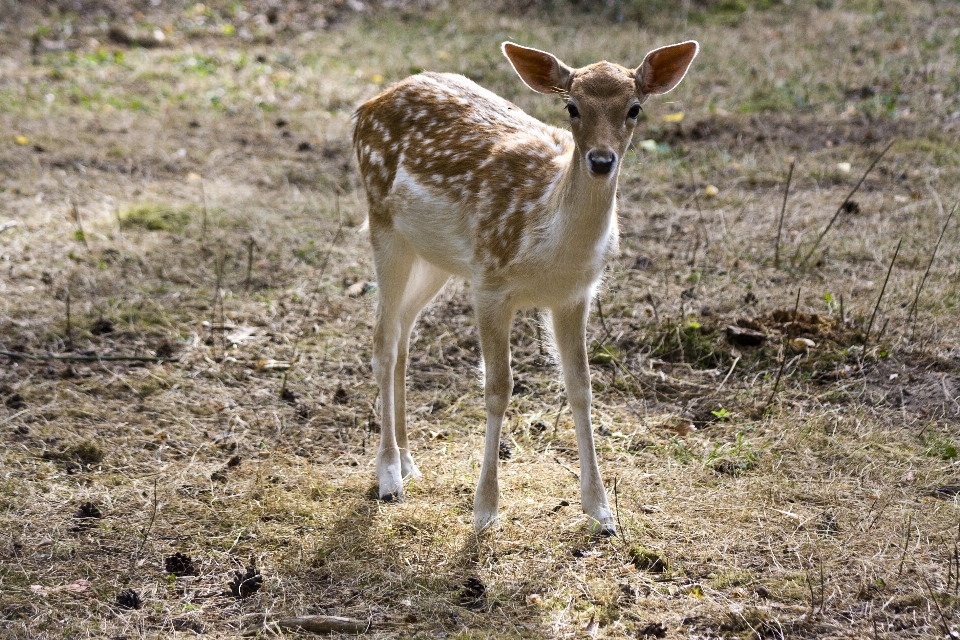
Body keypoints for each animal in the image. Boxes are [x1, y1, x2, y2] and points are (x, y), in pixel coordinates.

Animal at [352, 37, 696, 532]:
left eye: (635, 108)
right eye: (572, 107)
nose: (601, 161)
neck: (550, 247)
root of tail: (366, 107)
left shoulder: (575, 295)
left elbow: (580, 385)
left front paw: (601, 511)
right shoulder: (490, 282)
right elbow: (499, 388)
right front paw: (484, 511)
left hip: (435, 257)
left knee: (402, 334)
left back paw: (410, 461)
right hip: (383, 223)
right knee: (382, 340)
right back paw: (389, 477)